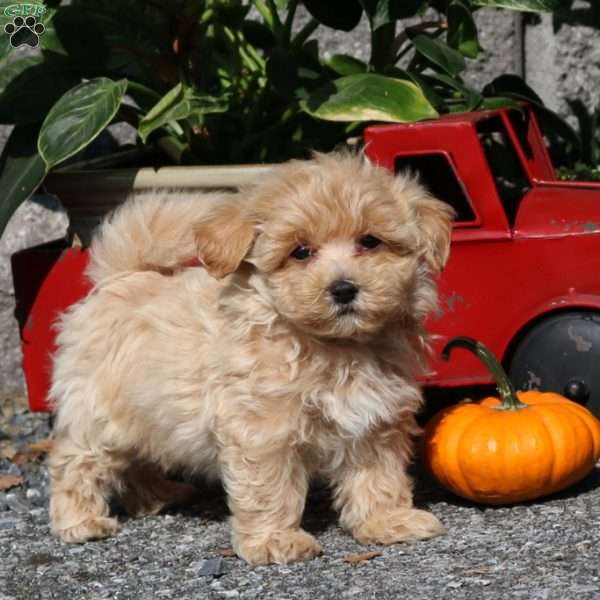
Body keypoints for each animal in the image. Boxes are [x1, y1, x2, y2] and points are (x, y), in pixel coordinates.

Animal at [49, 152, 452, 564]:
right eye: (300, 252)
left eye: (370, 242)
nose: (343, 289)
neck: (334, 346)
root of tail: (119, 278)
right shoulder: (263, 429)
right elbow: (269, 488)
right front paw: (275, 540)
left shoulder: (375, 421)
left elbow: (378, 476)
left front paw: (388, 521)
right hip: (101, 413)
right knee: (74, 460)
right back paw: (80, 521)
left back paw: (157, 496)